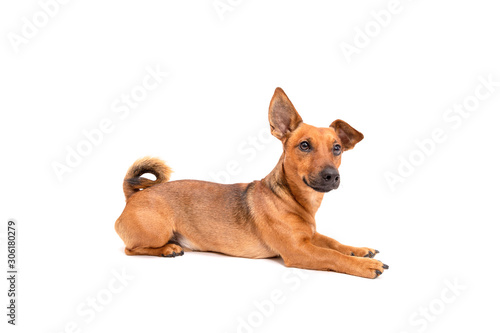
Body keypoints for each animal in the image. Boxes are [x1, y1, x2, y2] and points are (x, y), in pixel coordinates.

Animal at [115, 87, 388, 276]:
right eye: (304, 146)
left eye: (337, 148)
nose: (332, 175)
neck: (291, 199)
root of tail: (134, 195)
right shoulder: (299, 250)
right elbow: (332, 256)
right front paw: (363, 264)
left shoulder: (310, 237)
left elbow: (333, 243)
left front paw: (359, 250)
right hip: (156, 231)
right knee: (131, 249)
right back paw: (167, 249)